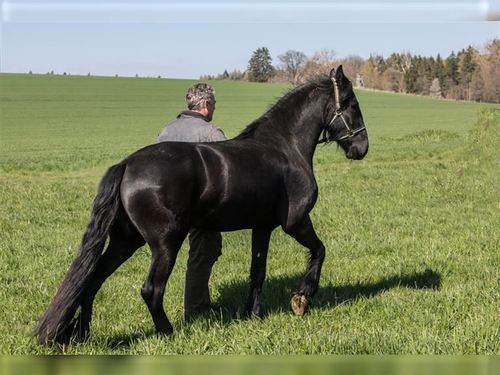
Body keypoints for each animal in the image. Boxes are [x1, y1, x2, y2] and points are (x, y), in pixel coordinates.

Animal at [35, 67, 368, 344]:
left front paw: (253, 314)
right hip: (165, 244)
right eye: (352, 105)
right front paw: (302, 298)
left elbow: (258, 271)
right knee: (150, 290)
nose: (361, 148)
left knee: (92, 281)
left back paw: (83, 334)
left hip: (125, 241)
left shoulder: (262, 227)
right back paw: (167, 332)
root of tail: (127, 165)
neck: (285, 147)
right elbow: (319, 250)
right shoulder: (296, 222)